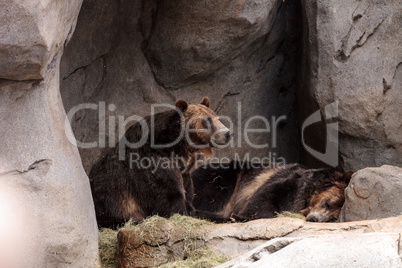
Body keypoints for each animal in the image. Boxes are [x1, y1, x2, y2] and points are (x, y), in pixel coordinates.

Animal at [192, 162, 352, 223]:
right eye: (327, 203)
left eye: (333, 217)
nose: (314, 219)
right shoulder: (284, 184)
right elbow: (262, 199)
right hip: (222, 179)